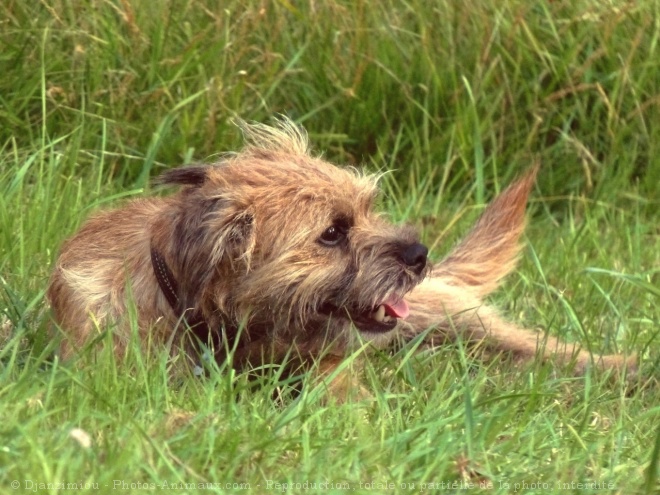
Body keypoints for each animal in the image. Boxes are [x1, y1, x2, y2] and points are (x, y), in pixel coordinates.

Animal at [46, 117, 636, 400]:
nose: (419, 254)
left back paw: (625, 369)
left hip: (452, 319)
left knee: (536, 347)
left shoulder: (331, 366)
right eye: (332, 233)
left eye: (369, 209)